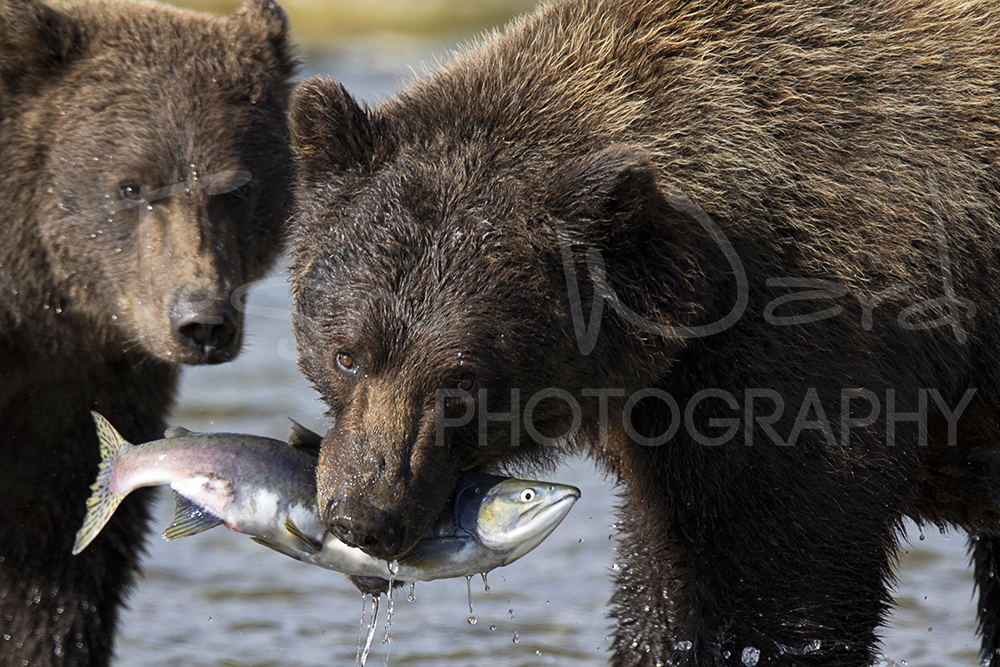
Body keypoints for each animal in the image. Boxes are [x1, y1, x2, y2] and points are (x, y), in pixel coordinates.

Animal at [286, 0, 1000, 663]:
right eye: (347, 355)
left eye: (462, 377)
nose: (363, 515)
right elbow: (670, 575)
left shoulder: (810, 365)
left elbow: (778, 581)